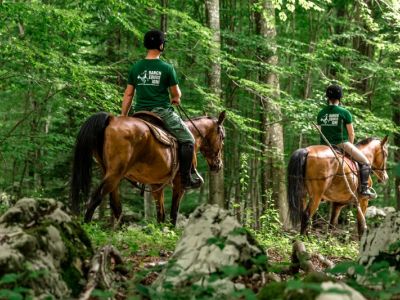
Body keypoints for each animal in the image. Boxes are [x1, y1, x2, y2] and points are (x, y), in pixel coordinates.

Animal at [71, 111, 225, 224]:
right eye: (223, 137)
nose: (219, 165)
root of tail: (111, 119)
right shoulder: (179, 183)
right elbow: (173, 214)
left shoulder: (156, 185)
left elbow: (161, 215)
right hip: (114, 175)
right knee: (95, 200)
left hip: (110, 175)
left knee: (116, 206)